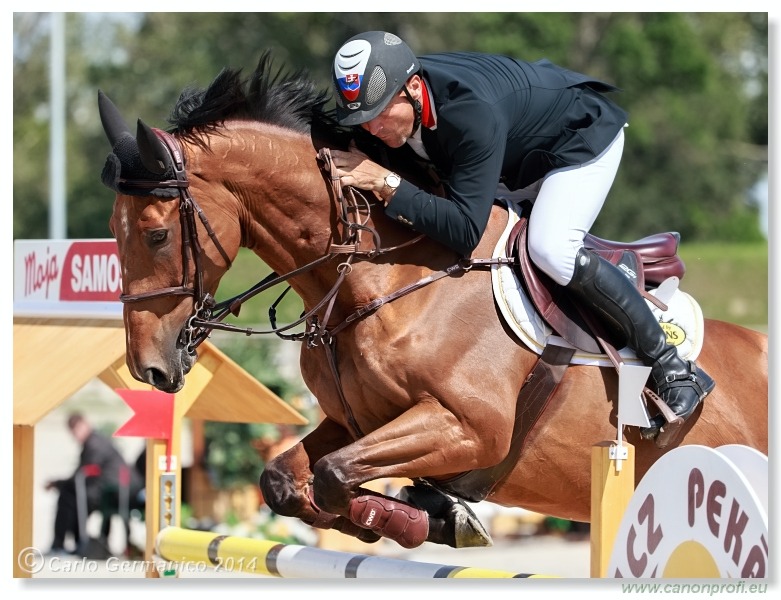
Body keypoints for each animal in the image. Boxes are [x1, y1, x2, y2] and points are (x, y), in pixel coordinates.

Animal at [99, 55, 768, 548]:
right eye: (114, 230)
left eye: (156, 235)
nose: (148, 367)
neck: (376, 282)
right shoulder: (353, 421)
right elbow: (286, 480)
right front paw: (435, 515)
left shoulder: (469, 427)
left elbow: (335, 476)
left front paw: (432, 518)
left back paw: (678, 385)